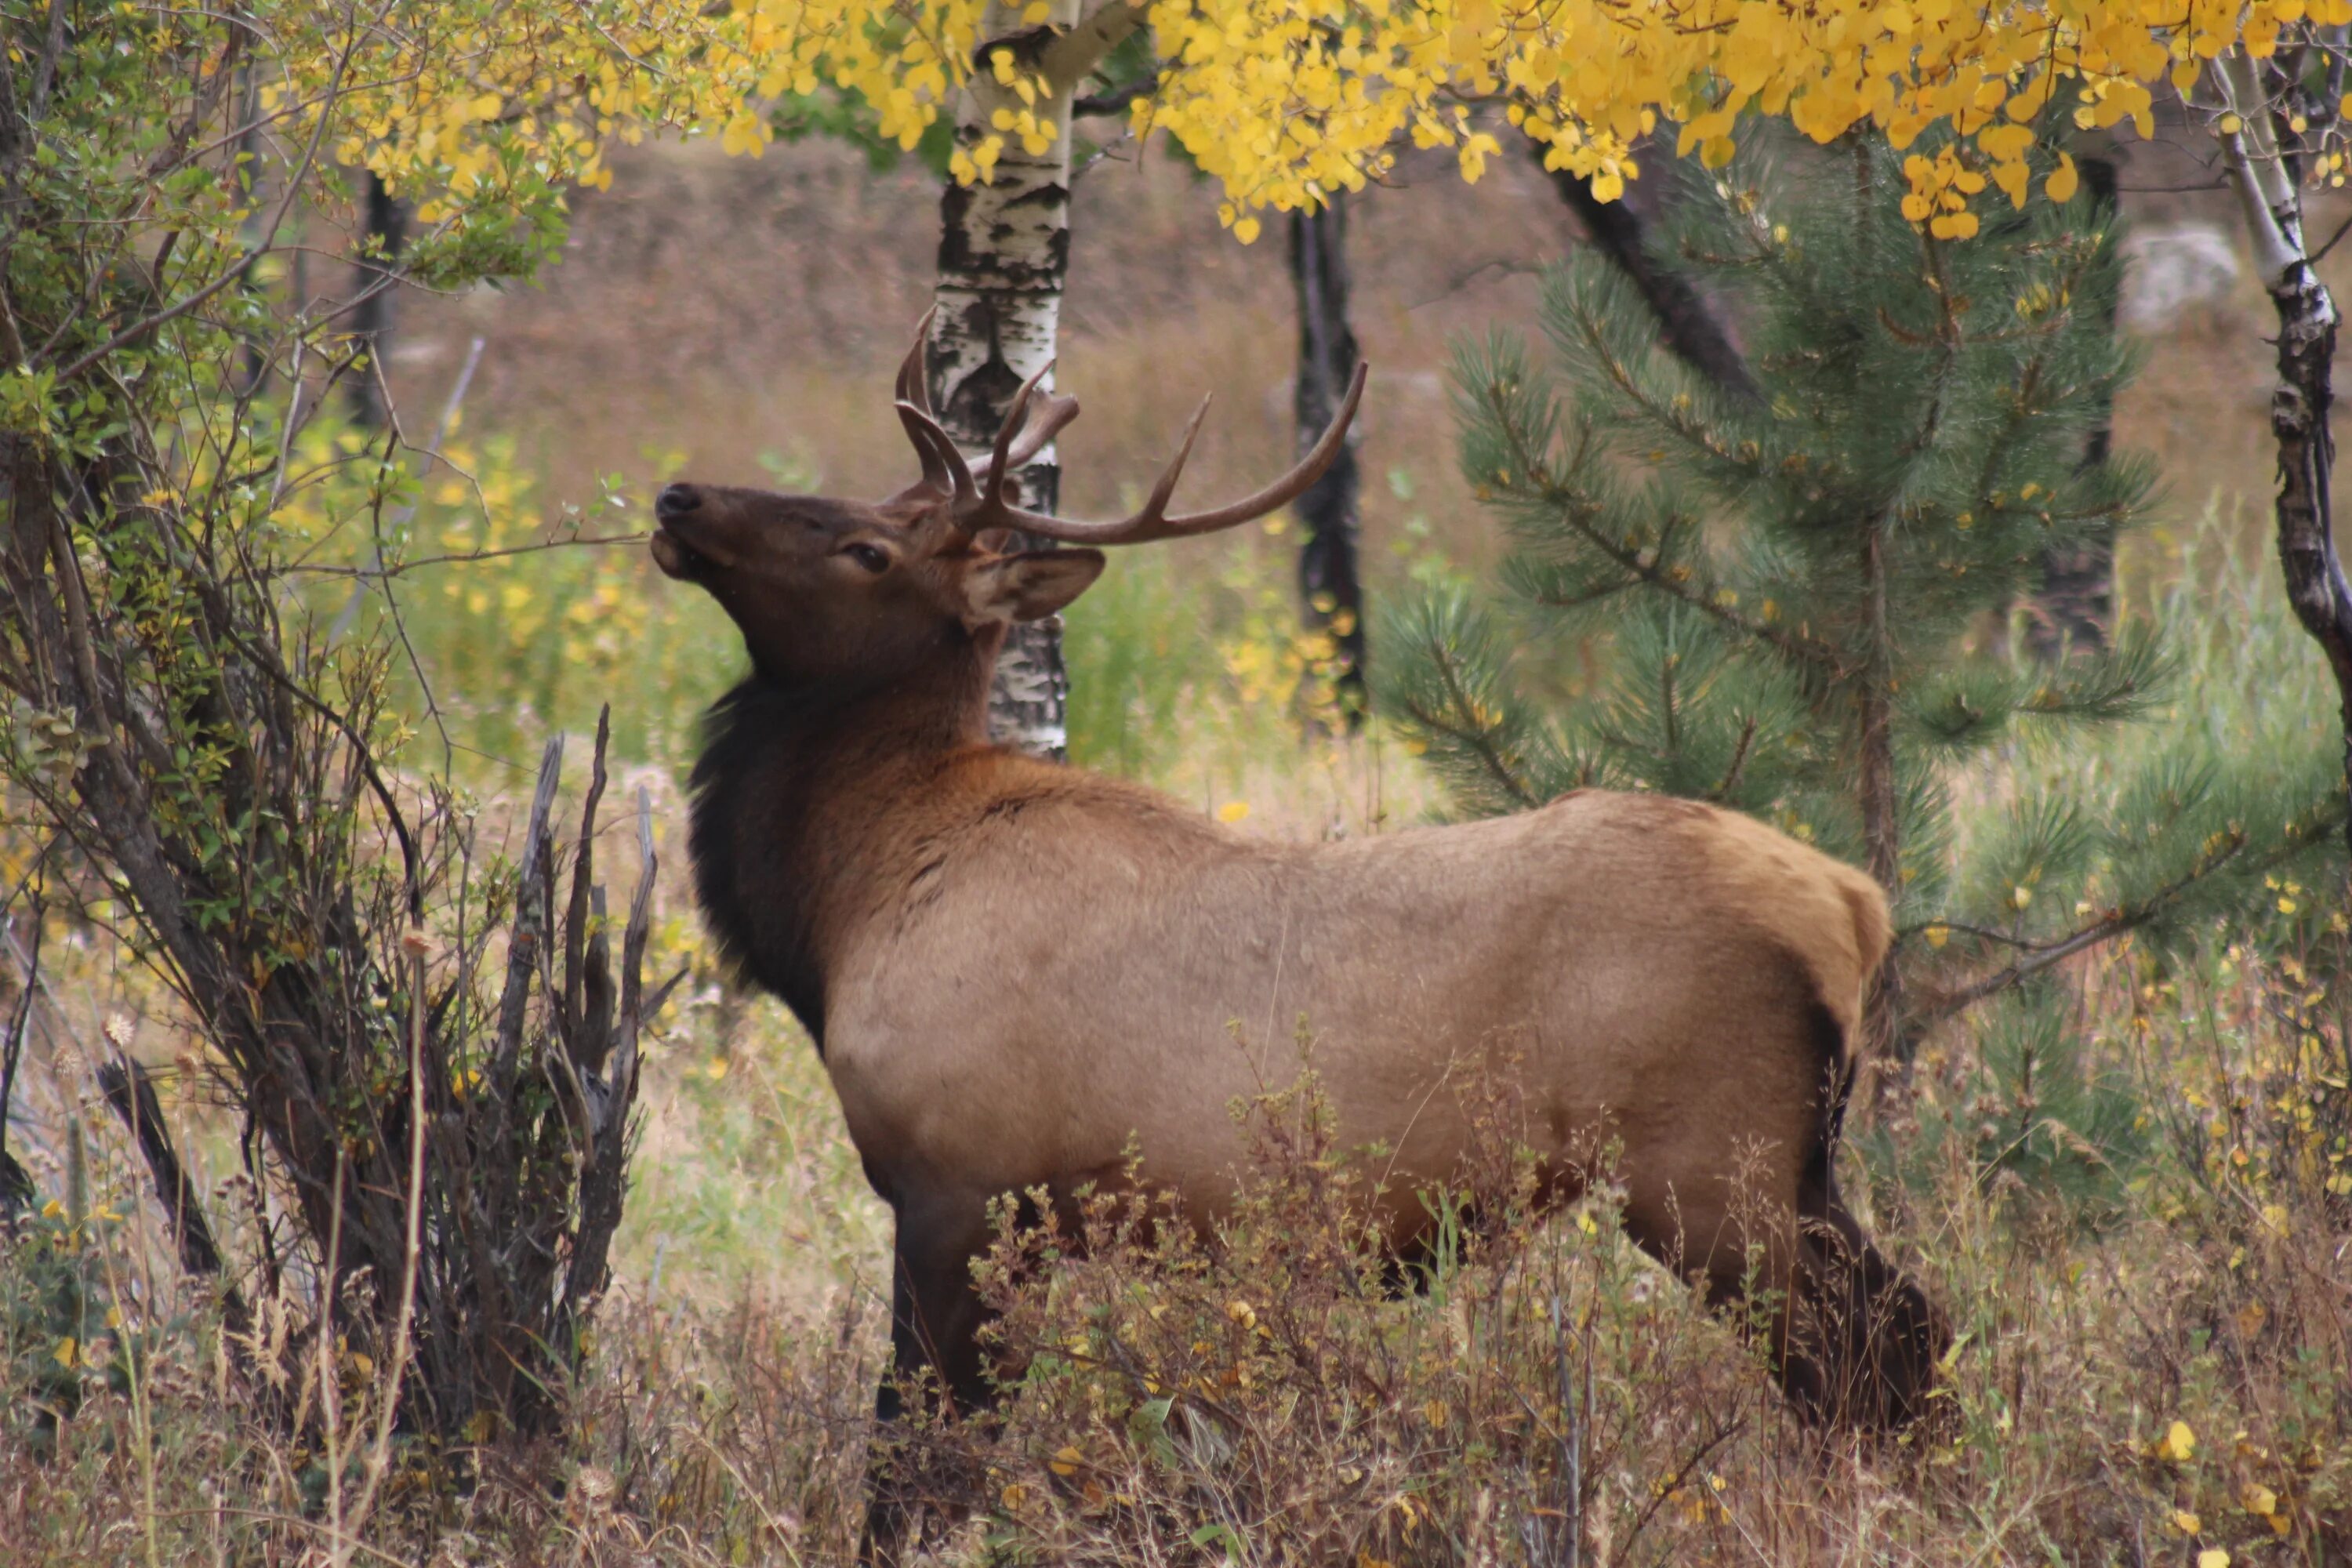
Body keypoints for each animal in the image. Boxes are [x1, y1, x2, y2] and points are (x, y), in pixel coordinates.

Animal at [649, 321, 1947, 1561]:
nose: (681, 499)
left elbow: (918, 1456)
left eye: (867, 548)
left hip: (1711, 1168)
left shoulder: (964, 1184)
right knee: (1907, 1335)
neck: (848, 905)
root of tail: (1855, 904)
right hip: (1790, 1163)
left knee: (1866, 1348)